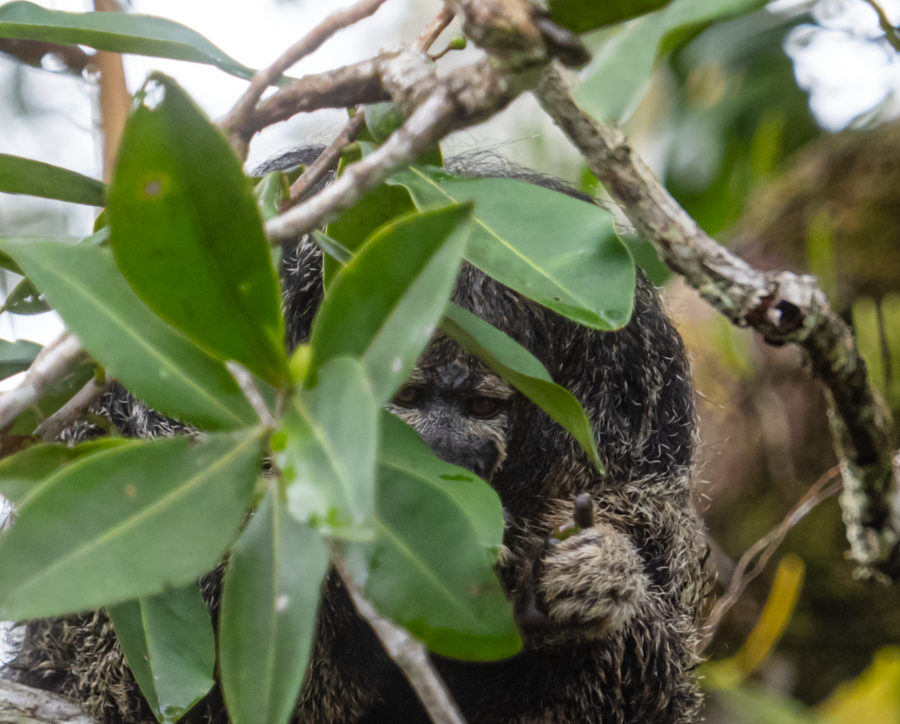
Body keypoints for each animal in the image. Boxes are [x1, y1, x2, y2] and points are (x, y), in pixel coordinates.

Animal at [2, 147, 707, 724]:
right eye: (409, 398)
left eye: (480, 405)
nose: (446, 450)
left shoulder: (629, 400)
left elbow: (649, 670)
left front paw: (595, 577)